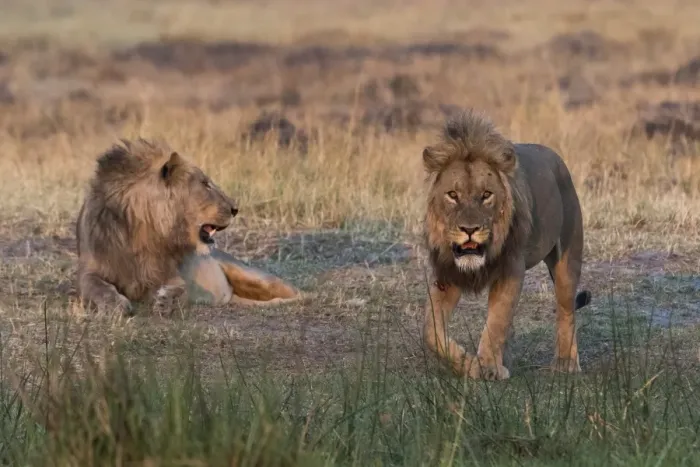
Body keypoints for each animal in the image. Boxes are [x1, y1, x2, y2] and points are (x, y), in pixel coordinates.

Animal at [76, 138, 301, 316]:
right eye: (205, 184)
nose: (235, 209)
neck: (144, 231)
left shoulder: (171, 274)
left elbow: (181, 289)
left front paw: (166, 302)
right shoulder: (90, 270)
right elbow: (98, 287)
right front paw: (115, 306)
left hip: (258, 277)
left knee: (300, 294)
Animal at [421, 109, 592, 380]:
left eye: (486, 195)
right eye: (453, 195)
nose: (469, 230)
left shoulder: (511, 269)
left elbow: (497, 320)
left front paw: (488, 367)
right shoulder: (447, 276)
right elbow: (430, 331)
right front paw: (467, 363)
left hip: (568, 258)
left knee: (566, 311)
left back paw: (566, 363)